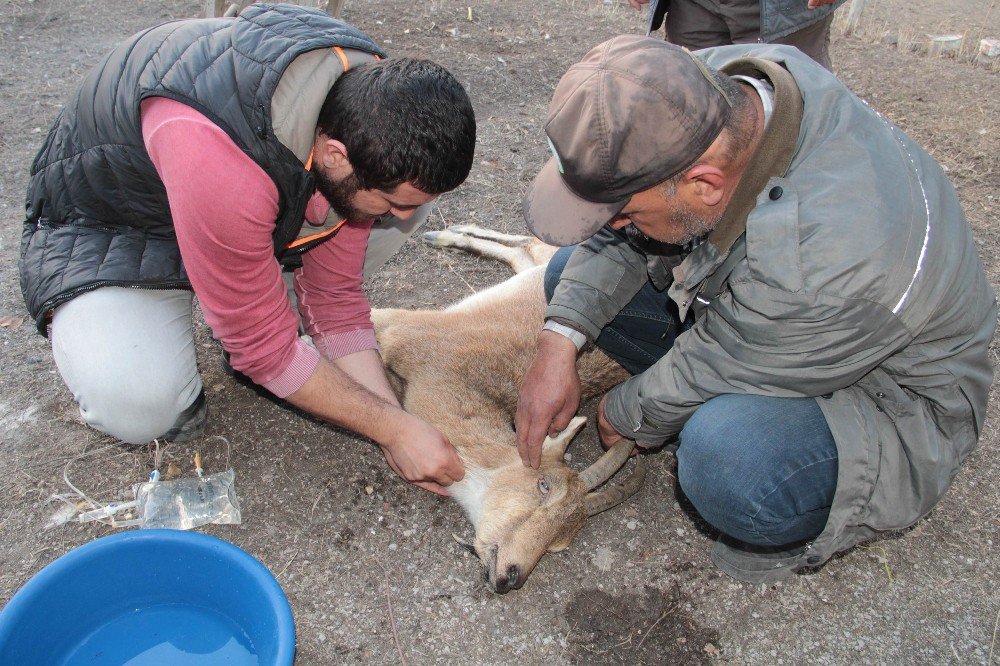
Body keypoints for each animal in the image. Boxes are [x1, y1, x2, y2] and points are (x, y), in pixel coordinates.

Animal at [372, 224, 644, 592]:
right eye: (544, 486)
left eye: (559, 543)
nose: (511, 576)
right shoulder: (403, 328)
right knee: (532, 245)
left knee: (526, 249)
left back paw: (450, 234)